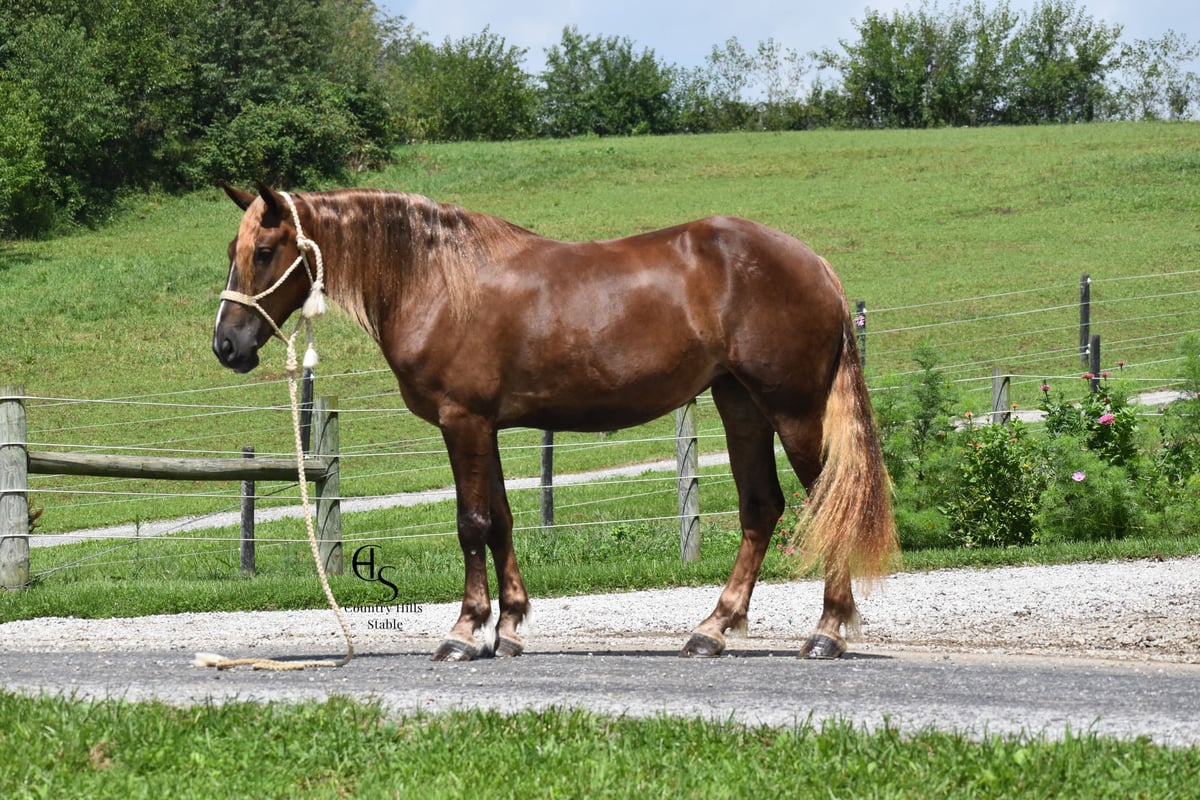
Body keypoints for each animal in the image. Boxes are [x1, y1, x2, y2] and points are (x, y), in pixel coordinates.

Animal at [212, 181, 898, 662]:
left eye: (266, 252)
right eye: (232, 252)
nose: (227, 345)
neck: (437, 278)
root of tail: (814, 263)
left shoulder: (462, 420)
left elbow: (472, 522)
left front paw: (465, 632)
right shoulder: (484, 426)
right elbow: (501, 520)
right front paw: (510, 626)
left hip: (792, 409)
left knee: (828, 499)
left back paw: (827, 632)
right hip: (740, 405)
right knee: (762, 507)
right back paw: (712, 629)